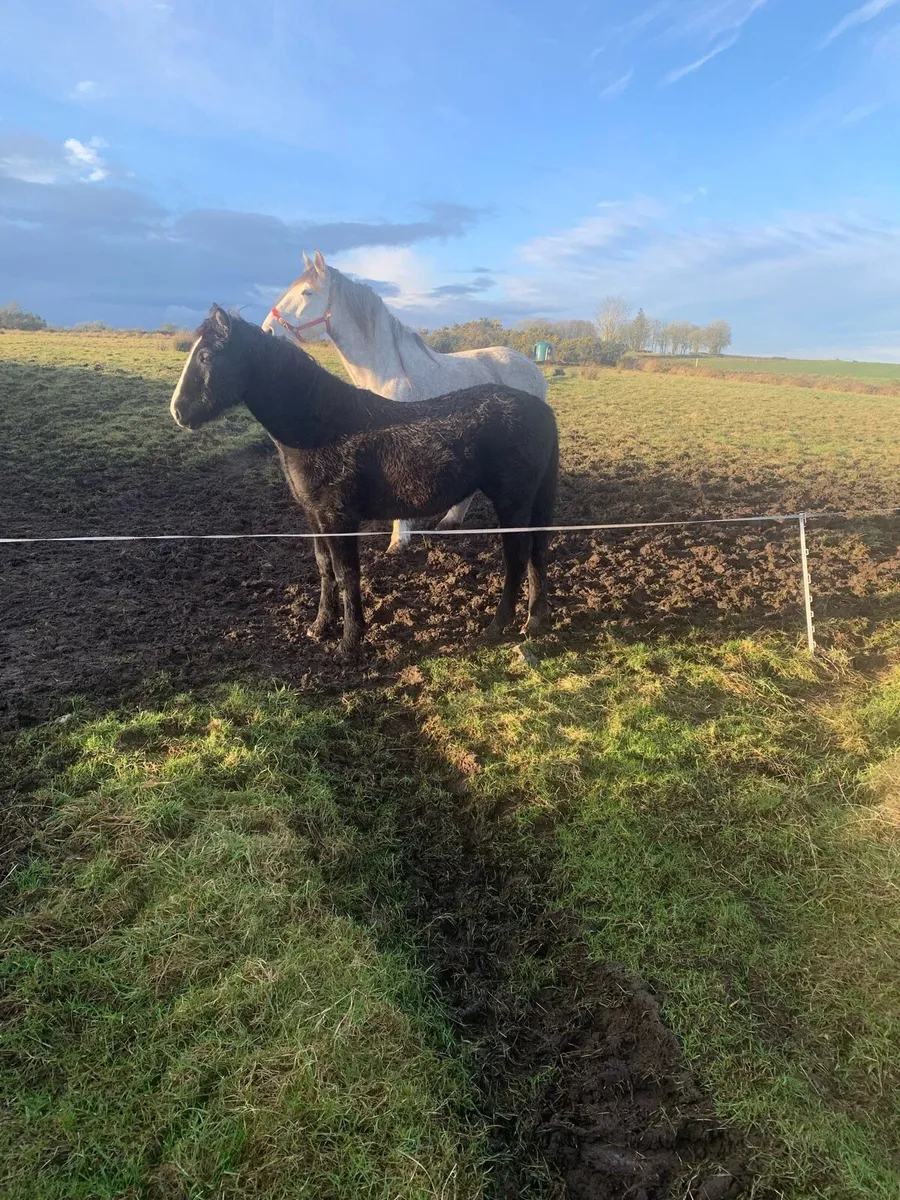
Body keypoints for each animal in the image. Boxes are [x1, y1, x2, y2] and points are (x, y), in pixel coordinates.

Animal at [170, 306, 559, 656]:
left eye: (205, 356)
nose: (178, 412)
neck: (324, 428)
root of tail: (542, 409)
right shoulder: (316, 517)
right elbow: (325, 569)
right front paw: (319, 627)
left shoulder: (339, 519)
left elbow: (347, 575)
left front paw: (349, 642)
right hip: (534, 500)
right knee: (538, 551)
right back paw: (535, 619)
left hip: (512, 502)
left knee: (517, 557)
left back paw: (496, 626)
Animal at [261, 250, 548, 553]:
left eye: (307, 292)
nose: (267, 330)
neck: (388, 372)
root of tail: (534, 369)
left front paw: (398, 542)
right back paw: (450, 521)